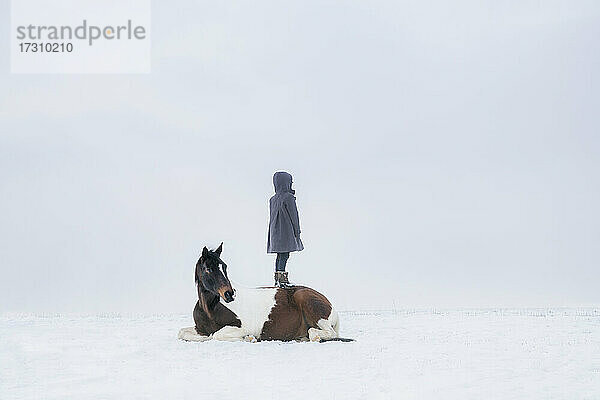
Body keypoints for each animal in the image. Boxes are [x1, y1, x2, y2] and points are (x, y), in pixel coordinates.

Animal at [180, 244, 354, 344]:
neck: (211, 308)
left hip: (309, 304)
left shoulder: (240, 327)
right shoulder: (199, 328)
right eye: (208, 269)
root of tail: (330, 305)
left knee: (324, 333)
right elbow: (182, 333)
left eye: (224, 267)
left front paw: (249, 338)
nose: (229, 294)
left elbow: (216, 335)